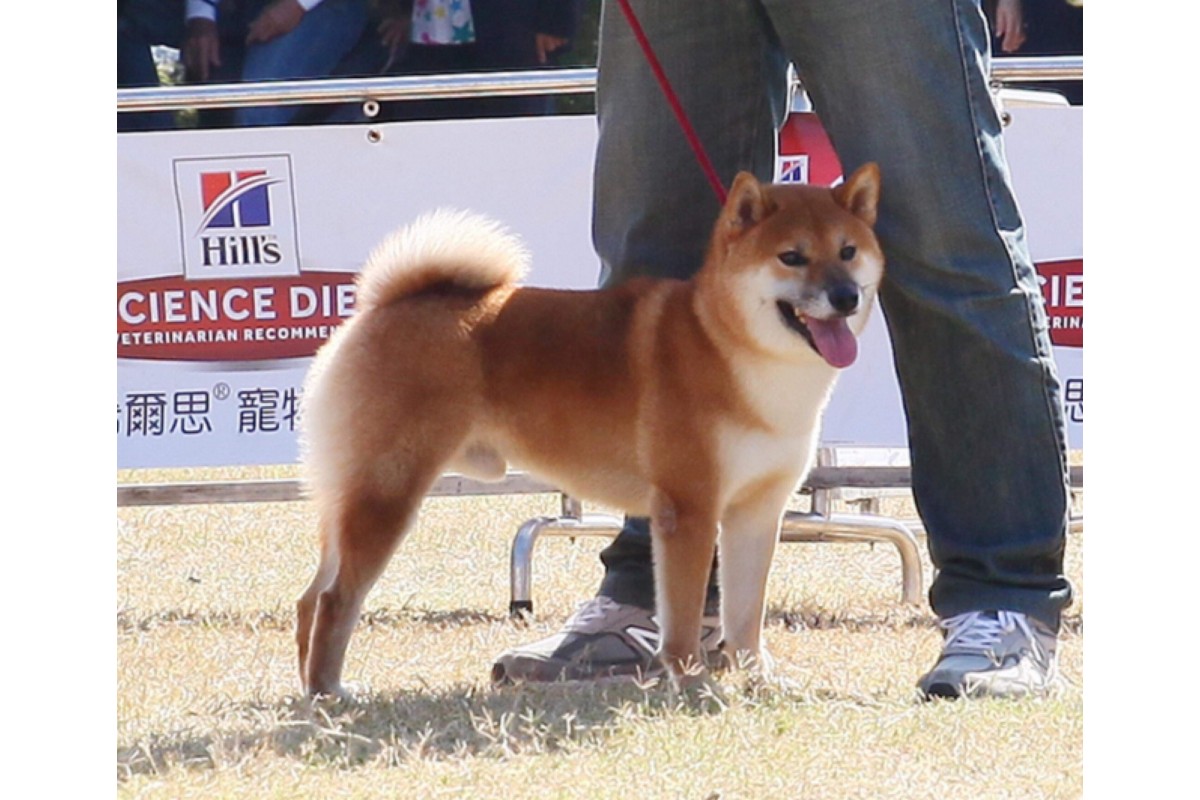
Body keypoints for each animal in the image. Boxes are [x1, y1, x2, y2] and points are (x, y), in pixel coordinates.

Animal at [296, 160, 888, 695]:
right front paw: (694, 682)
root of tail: (381, 307)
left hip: (351, 496)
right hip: (388, 494)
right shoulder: (689, 510)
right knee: (334, 599)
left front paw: (759, 679)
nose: (845, 296)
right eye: (791, 257)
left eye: (848, 252)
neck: (733, 347)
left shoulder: (756, 512)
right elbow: (682, 616)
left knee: (310, 596)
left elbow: (746, 616)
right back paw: (329, 690)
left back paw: (310, 683)